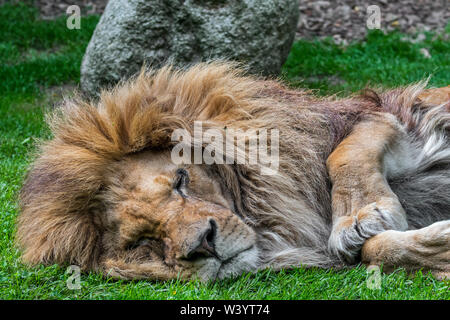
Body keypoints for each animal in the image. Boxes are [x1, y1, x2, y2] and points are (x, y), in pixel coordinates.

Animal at [15, 62, 448, 280]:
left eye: (181, 181)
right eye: (142, 242)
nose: (203, 245)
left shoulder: (397, 117)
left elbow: (344, 153)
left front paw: (359, 217)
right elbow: (376, 251)